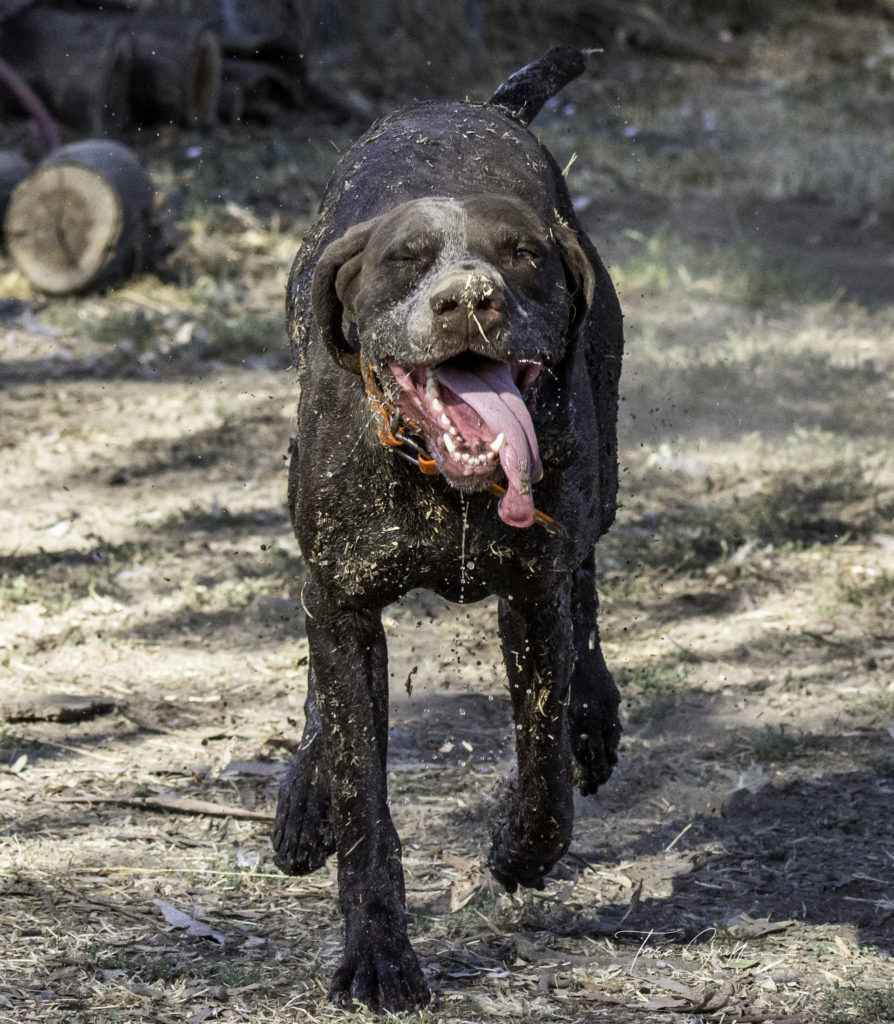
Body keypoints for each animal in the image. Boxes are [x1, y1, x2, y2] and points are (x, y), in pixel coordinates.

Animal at [270, 48, 622, 1007]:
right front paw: (378, 956)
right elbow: (362, 795)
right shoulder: (345, 603)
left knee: (588, 587)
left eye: (523, 255)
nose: (470, 300)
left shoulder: (530, 600)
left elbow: (543, 769)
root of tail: (480, 106)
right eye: (406, 259)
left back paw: (596, 714)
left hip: (602, 473)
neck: (441, 480)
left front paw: (520, 851)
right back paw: (305, 794)